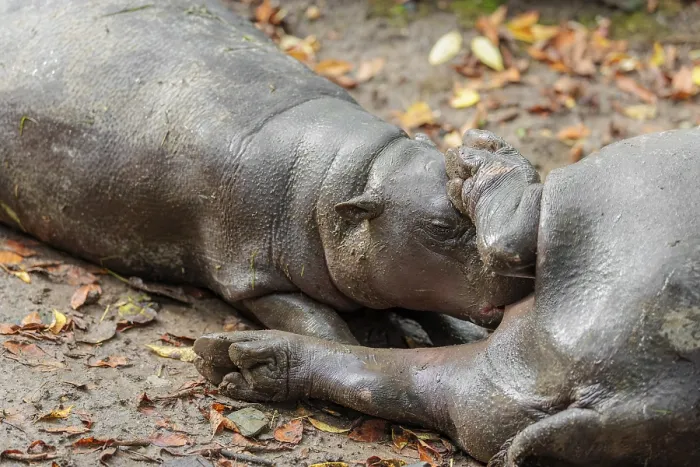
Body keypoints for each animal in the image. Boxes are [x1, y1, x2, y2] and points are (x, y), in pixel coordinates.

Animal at [0, 0, 531, 344]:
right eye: (439, 226)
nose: (526, 263)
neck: (345, 179)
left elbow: (433, 312)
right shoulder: (251, 276)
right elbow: (323, 329)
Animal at [194, 128, 700, 466]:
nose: (475, 135)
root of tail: (625, 398)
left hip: (595, 205)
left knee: (510, 229)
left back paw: (236, 359)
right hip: (504, 376)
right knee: (412, 380)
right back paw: (243, 362)